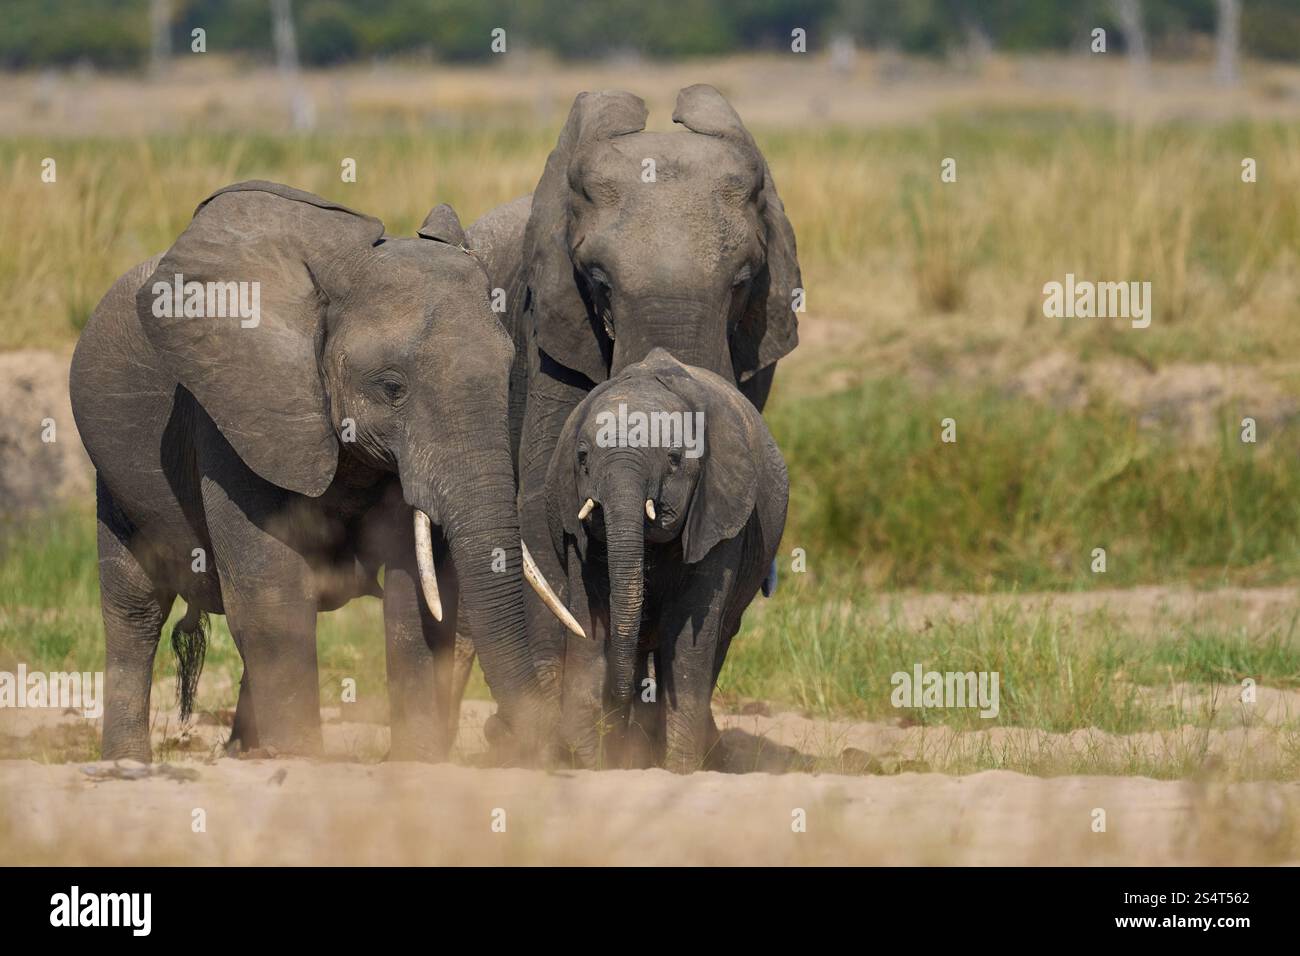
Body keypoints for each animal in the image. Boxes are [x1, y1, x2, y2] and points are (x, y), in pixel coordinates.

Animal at [69, 180, 571, 763]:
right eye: (391, 387)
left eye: (508, 372)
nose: (507, 735)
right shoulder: (235, 412)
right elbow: (272, 595)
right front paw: (305, 760)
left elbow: (416, 604)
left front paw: (417, 764)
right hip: (115, 477)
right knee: (135, 608)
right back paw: (129, 762)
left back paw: (245, 756)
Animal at [542, 349, 788, 771]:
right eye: (582, 457)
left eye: (674, 459)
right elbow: (591, 620)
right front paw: (596, 760)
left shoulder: (720, 516)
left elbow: (688, 636)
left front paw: (679, 769)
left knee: (718, 637)